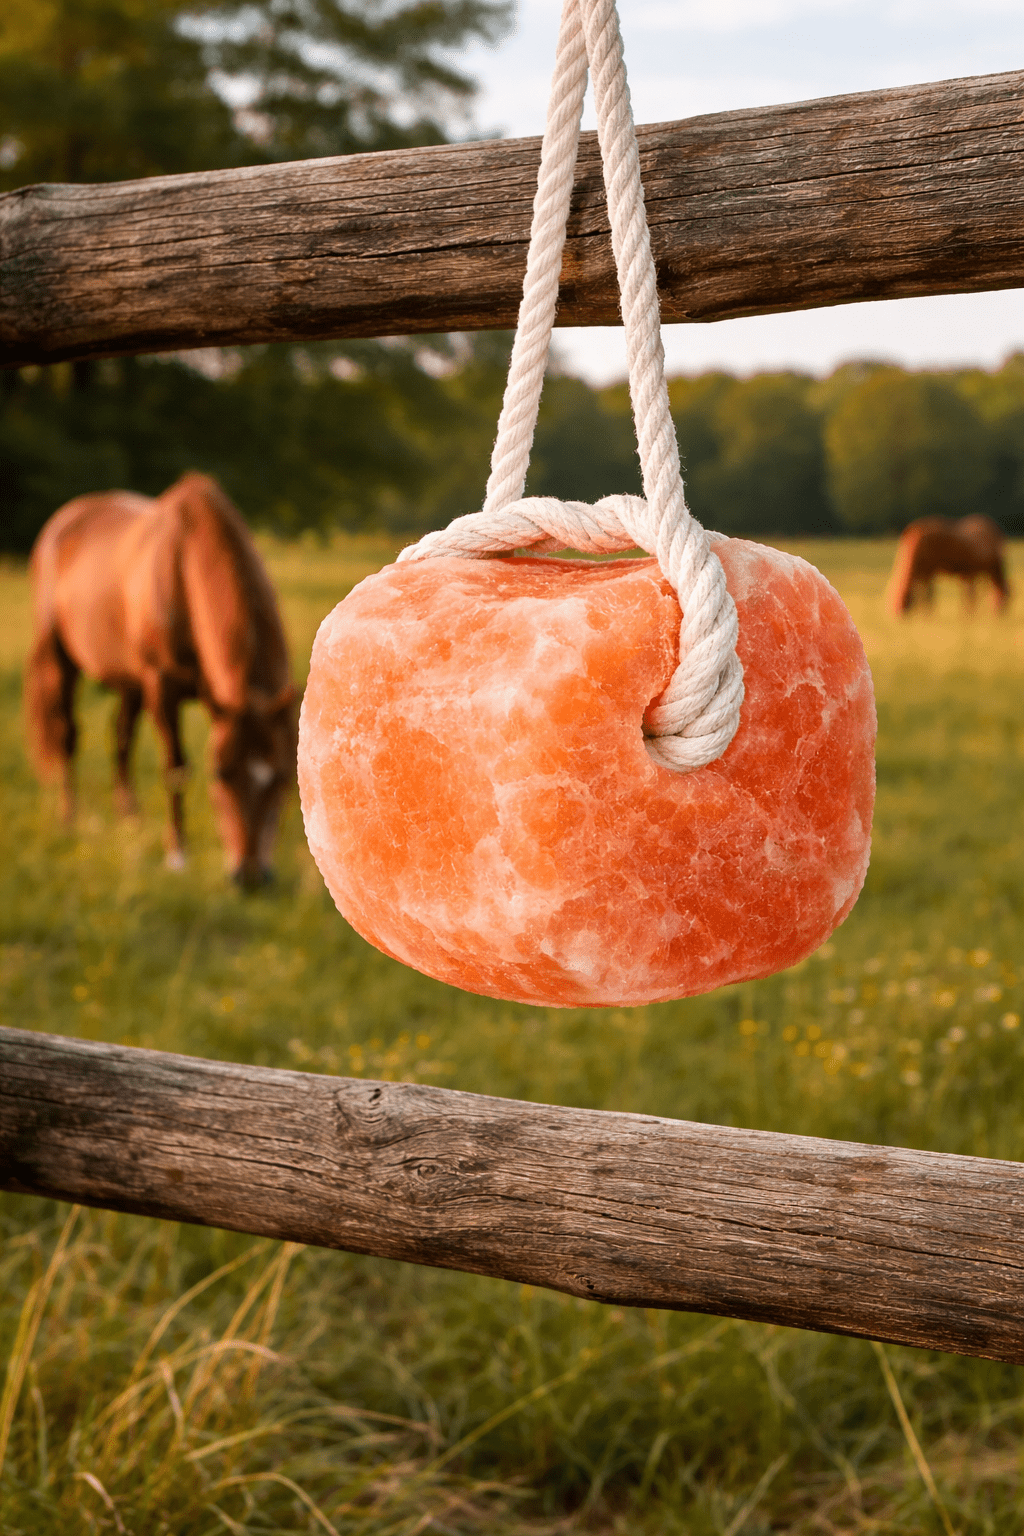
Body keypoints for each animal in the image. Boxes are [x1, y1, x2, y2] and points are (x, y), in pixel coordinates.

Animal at [26, 472, 298, 887]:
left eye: (282, 777)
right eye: (219, 774)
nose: (250, 877)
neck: (183, 569)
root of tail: (62, 521)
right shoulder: (161, 685)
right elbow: (176, 769)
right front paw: (177, 856)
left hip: (128, 680)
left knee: (121, 735)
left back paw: (130, 817)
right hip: (60, 659)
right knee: (66, 734)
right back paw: (68, 818)